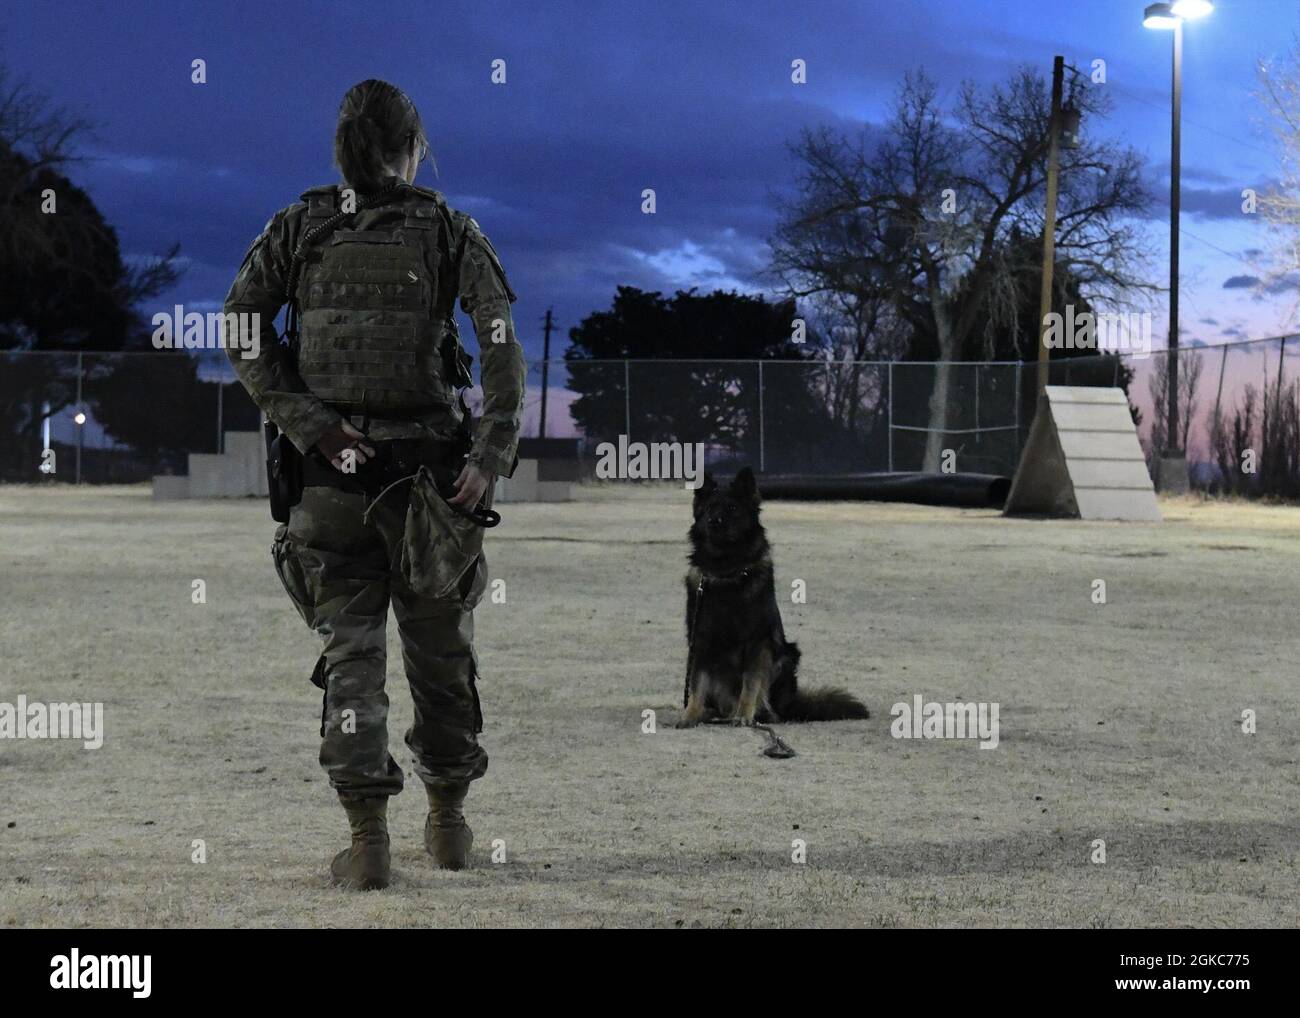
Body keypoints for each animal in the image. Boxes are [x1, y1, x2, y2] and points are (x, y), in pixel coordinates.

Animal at [676, 470, 868, 733]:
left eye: (732, 508)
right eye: (709, 509)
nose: (714, 521)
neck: (726, 572)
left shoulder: (758, 643)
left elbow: (750, 683)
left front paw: (744, 716)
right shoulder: (700, 640)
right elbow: (697, 684)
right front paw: (690, 714)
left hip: (785, 657)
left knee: (770, 707)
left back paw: (760, 714)